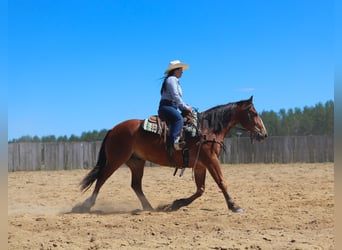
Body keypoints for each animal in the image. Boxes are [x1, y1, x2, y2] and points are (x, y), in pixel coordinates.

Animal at [73, 95, 268, 213]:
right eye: (253, 113)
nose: (264, 134)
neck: (207, 130)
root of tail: (114, 129)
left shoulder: (200, 165)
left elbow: (200, 189)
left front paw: (176, 203)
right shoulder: (211, 160)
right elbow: (221, 182)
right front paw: (234, 206)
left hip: (136, 163)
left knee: (135, 185)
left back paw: (149, 207)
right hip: (115, 160)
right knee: (101, 179)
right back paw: (86, 206)